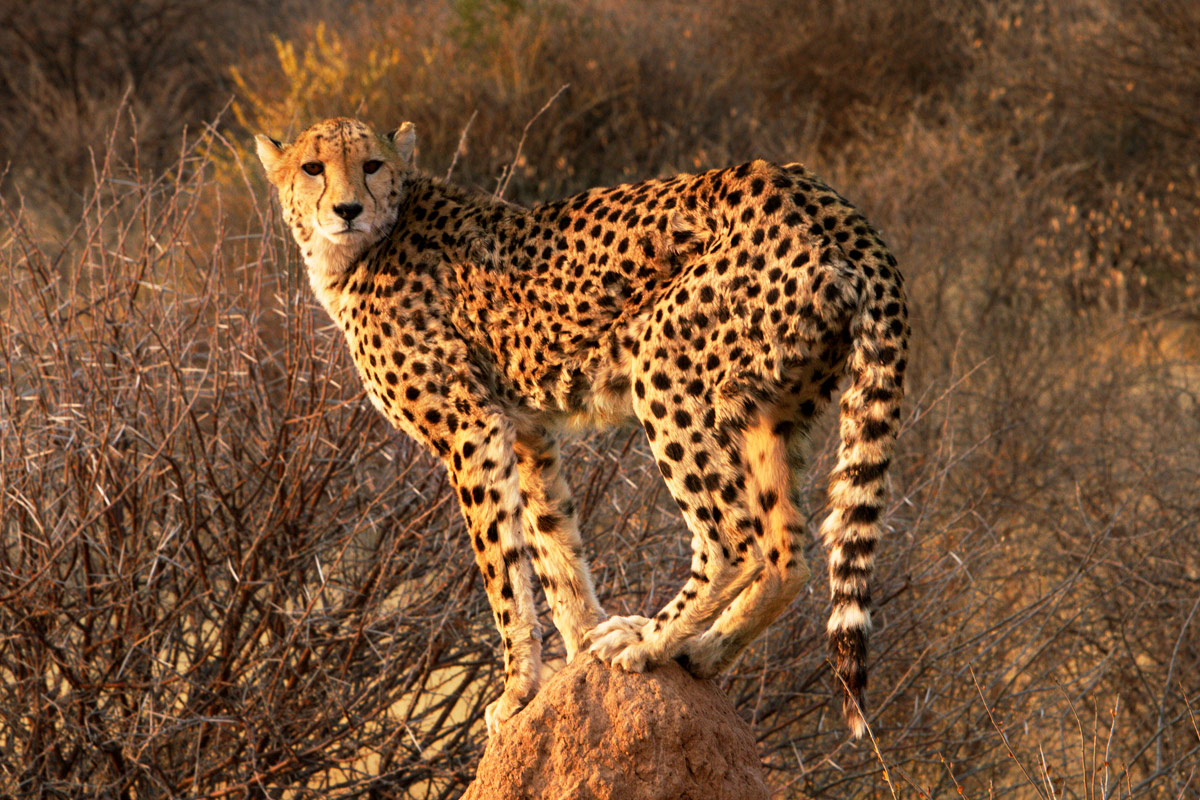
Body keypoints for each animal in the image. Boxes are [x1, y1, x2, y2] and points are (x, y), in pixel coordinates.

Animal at [256, 117, 909, 739]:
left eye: (371, 165)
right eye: (313, 167)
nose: (347, 209)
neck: (362, 248)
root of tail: (819, 196)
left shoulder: (471, 429)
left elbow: (502, 572)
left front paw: (517, 690)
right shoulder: (524, 432)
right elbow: (553, 548)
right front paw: (574, 657)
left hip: (664, 368)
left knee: (733, 539)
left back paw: (646, 642)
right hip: (769, 406)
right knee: (786, 552)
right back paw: (700, 654)